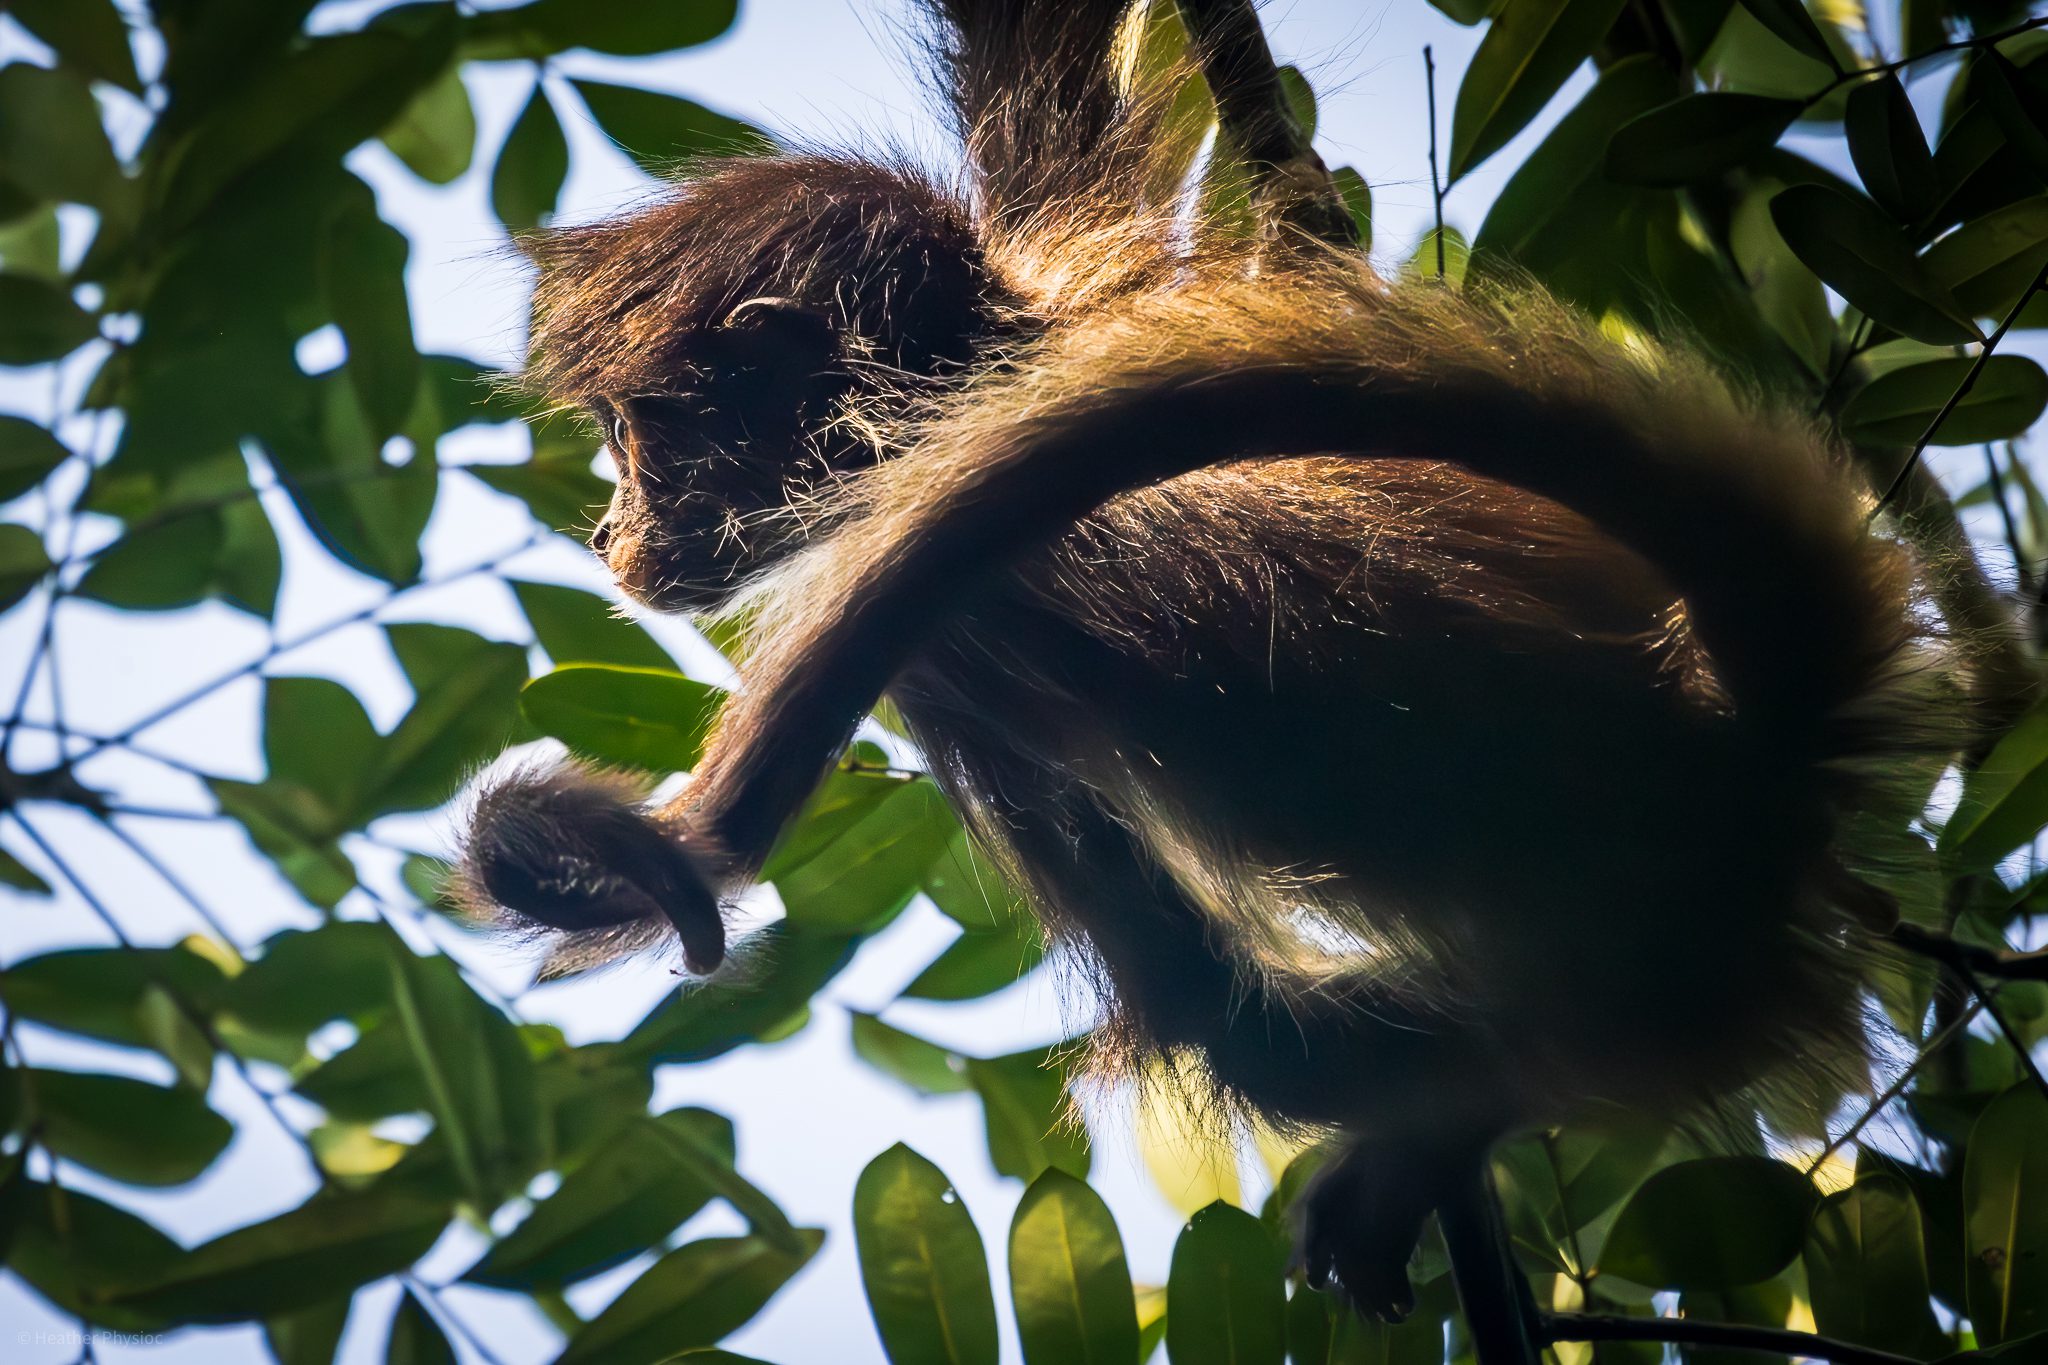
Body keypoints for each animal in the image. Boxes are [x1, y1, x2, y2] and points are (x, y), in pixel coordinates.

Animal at [460, 0, 1980, 1321]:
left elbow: (1197, 1001)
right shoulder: (1079, 265)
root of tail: (1750, 731)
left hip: (1670, 977)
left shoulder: (944, 623)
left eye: (637, 439)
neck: (963, 382)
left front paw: (613, 853)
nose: (609, 529)